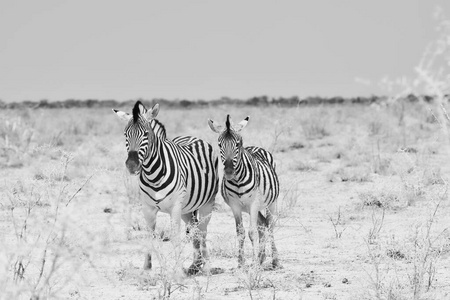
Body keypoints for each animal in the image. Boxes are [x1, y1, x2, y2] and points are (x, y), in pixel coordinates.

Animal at [112, 102, 218, 276]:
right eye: (125, 134)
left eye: (146, 134)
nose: (132, 165)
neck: (153, 174)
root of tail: (192, 137)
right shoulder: (147, 208)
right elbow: (149, 235)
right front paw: (146, 268)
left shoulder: (175, 207)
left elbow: (175, 237)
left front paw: (178, 271)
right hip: (187, 208)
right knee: (194, 229)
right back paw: (195, 265)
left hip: (206, 203)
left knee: (202, 231)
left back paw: (207, 266)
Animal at [208, 115, 282, 270]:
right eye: (219, 144)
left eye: (238, 144)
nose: (229, 172)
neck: (237, 181)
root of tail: (255, 147)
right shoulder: (235, 206)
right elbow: (240, 232)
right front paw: (241, 262)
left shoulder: (254, 203)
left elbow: (252, 232)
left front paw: (253, 263)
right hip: (249, 208)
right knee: (262, 224)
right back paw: (261, 257)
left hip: (270, 202)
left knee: (270, 226)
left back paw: (275, 260)